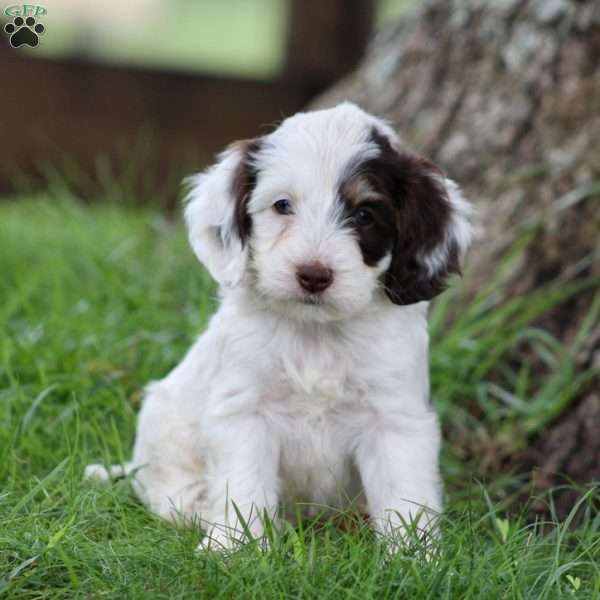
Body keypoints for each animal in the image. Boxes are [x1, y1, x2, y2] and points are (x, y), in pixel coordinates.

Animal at [86, 101, 474, 552]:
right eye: (282, 205)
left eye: (364, 214)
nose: (314, 275)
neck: (316, 333)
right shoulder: (243, 410)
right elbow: (243, 486)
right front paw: (233, 548)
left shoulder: (394, 417)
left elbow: (404, 494)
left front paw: (414, 556)